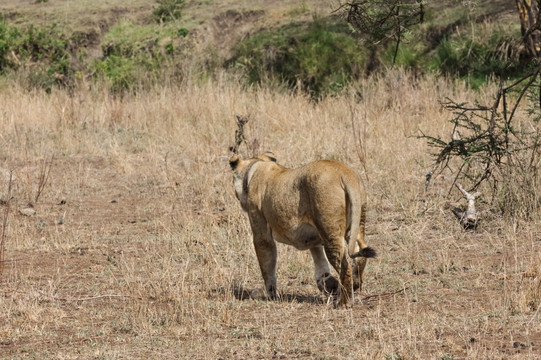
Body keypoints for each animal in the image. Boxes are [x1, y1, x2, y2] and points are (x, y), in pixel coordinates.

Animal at [228, 152, 376, 306]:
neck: (256, 166)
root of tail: (344, 173)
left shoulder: (261, 230)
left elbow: (267, 265)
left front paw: (268, 294)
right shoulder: (313, 234)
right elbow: (319, 260)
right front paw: (328, 283)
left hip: (329, 230)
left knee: (344, 265)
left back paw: (343, 302)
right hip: (356, 222)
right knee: (360, 250)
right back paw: (356, 284)